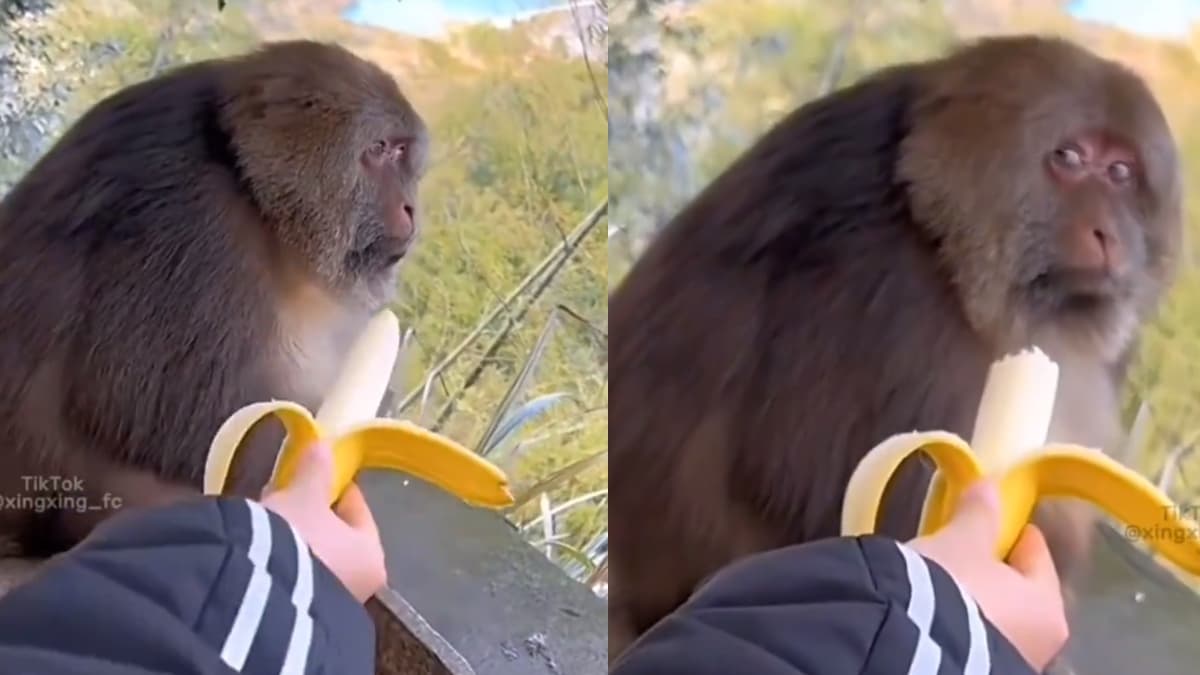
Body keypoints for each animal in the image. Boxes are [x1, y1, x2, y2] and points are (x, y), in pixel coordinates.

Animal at [0, 39, 430, 558]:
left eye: (404, 157)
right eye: (380, 150)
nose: (410, 208)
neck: (250, 186)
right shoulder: (192, 222)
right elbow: (177, 425)